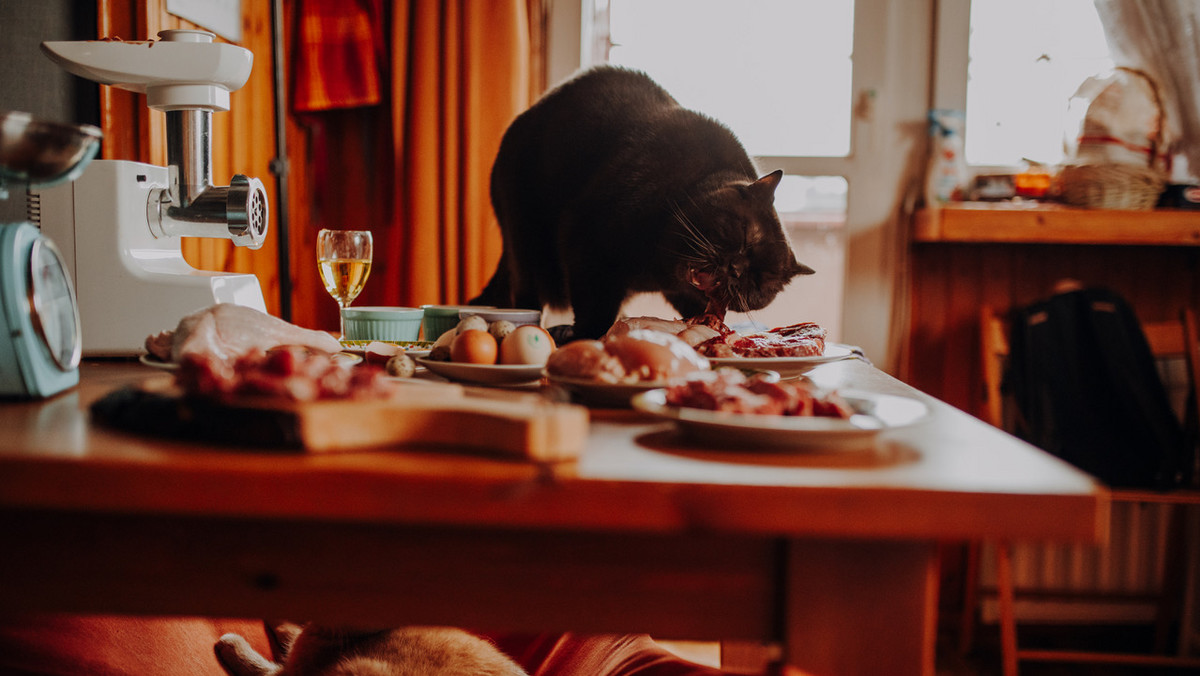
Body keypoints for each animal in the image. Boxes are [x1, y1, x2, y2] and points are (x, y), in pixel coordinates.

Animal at [470, 66, 816, 341]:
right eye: (744, 236)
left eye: (759, 282)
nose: (736, 269)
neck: (655, 264)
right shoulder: (585, 242)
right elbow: (595, 308)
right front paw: (588, 336)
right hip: (524, 240)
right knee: (525, 293)